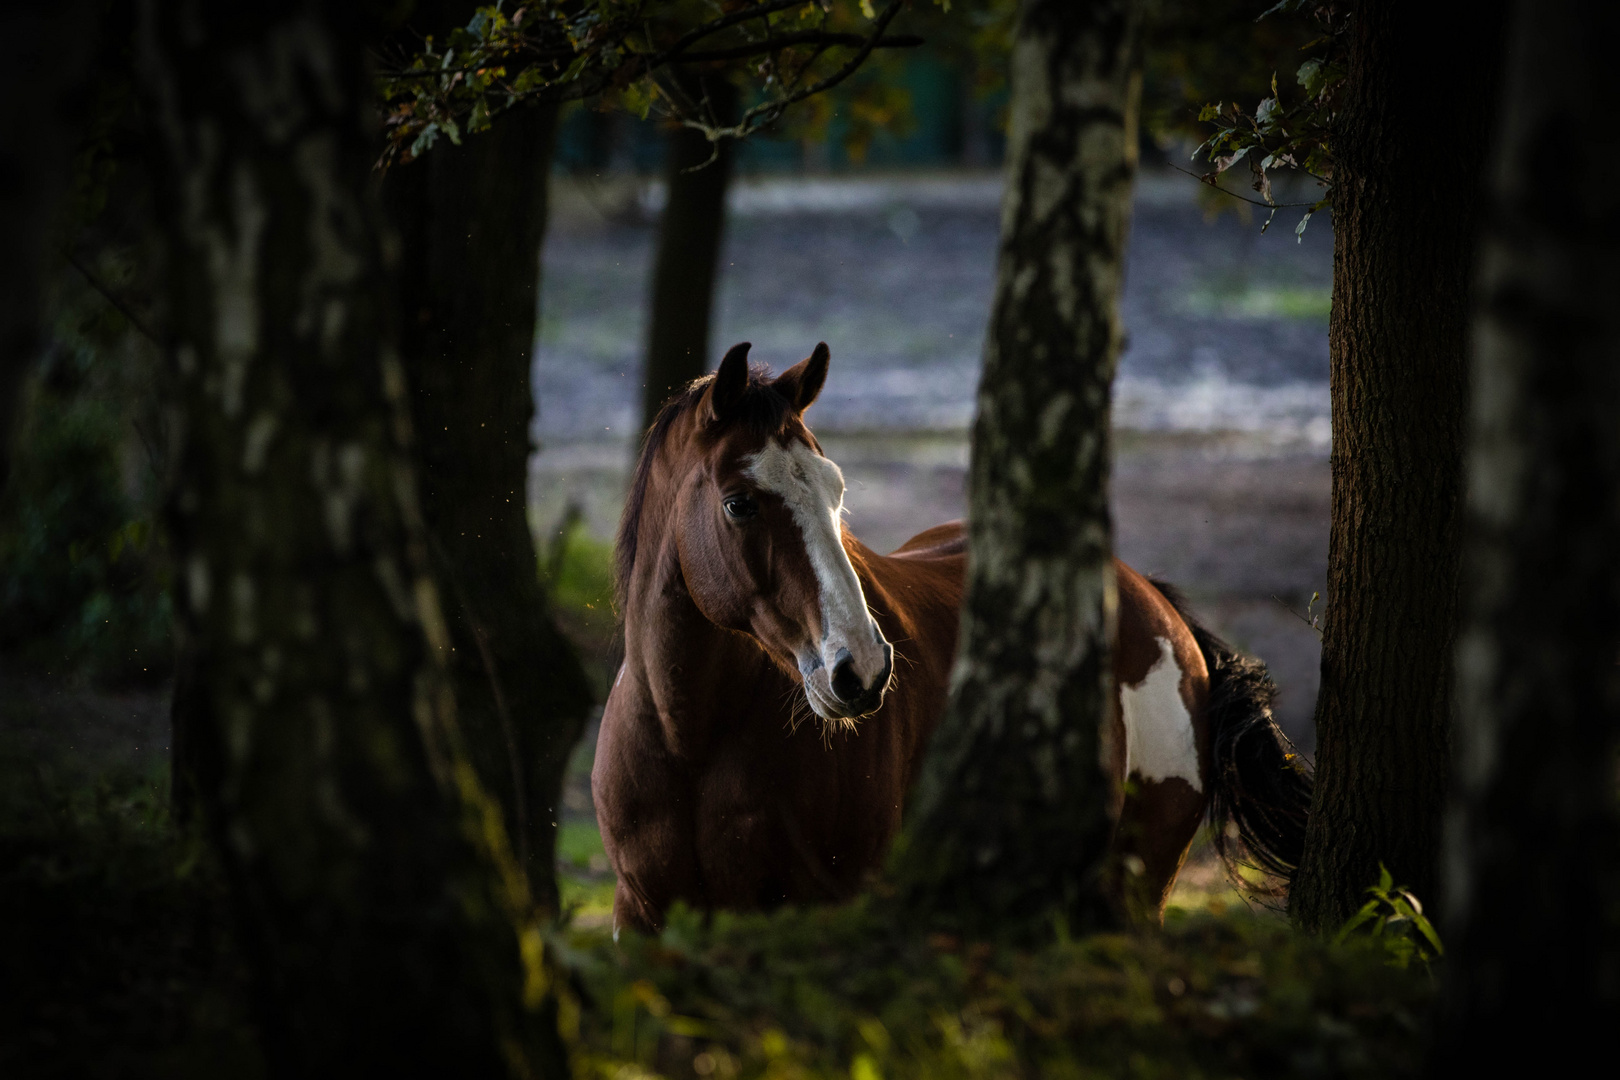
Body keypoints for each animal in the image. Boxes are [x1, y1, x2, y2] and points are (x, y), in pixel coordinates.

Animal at [596, 341, 1315, 932]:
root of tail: (1150, 599)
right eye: (739, 502)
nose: (861, 669)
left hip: (1135, 891)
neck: (689, 739)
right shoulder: (643, 918)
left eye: (835, 491)